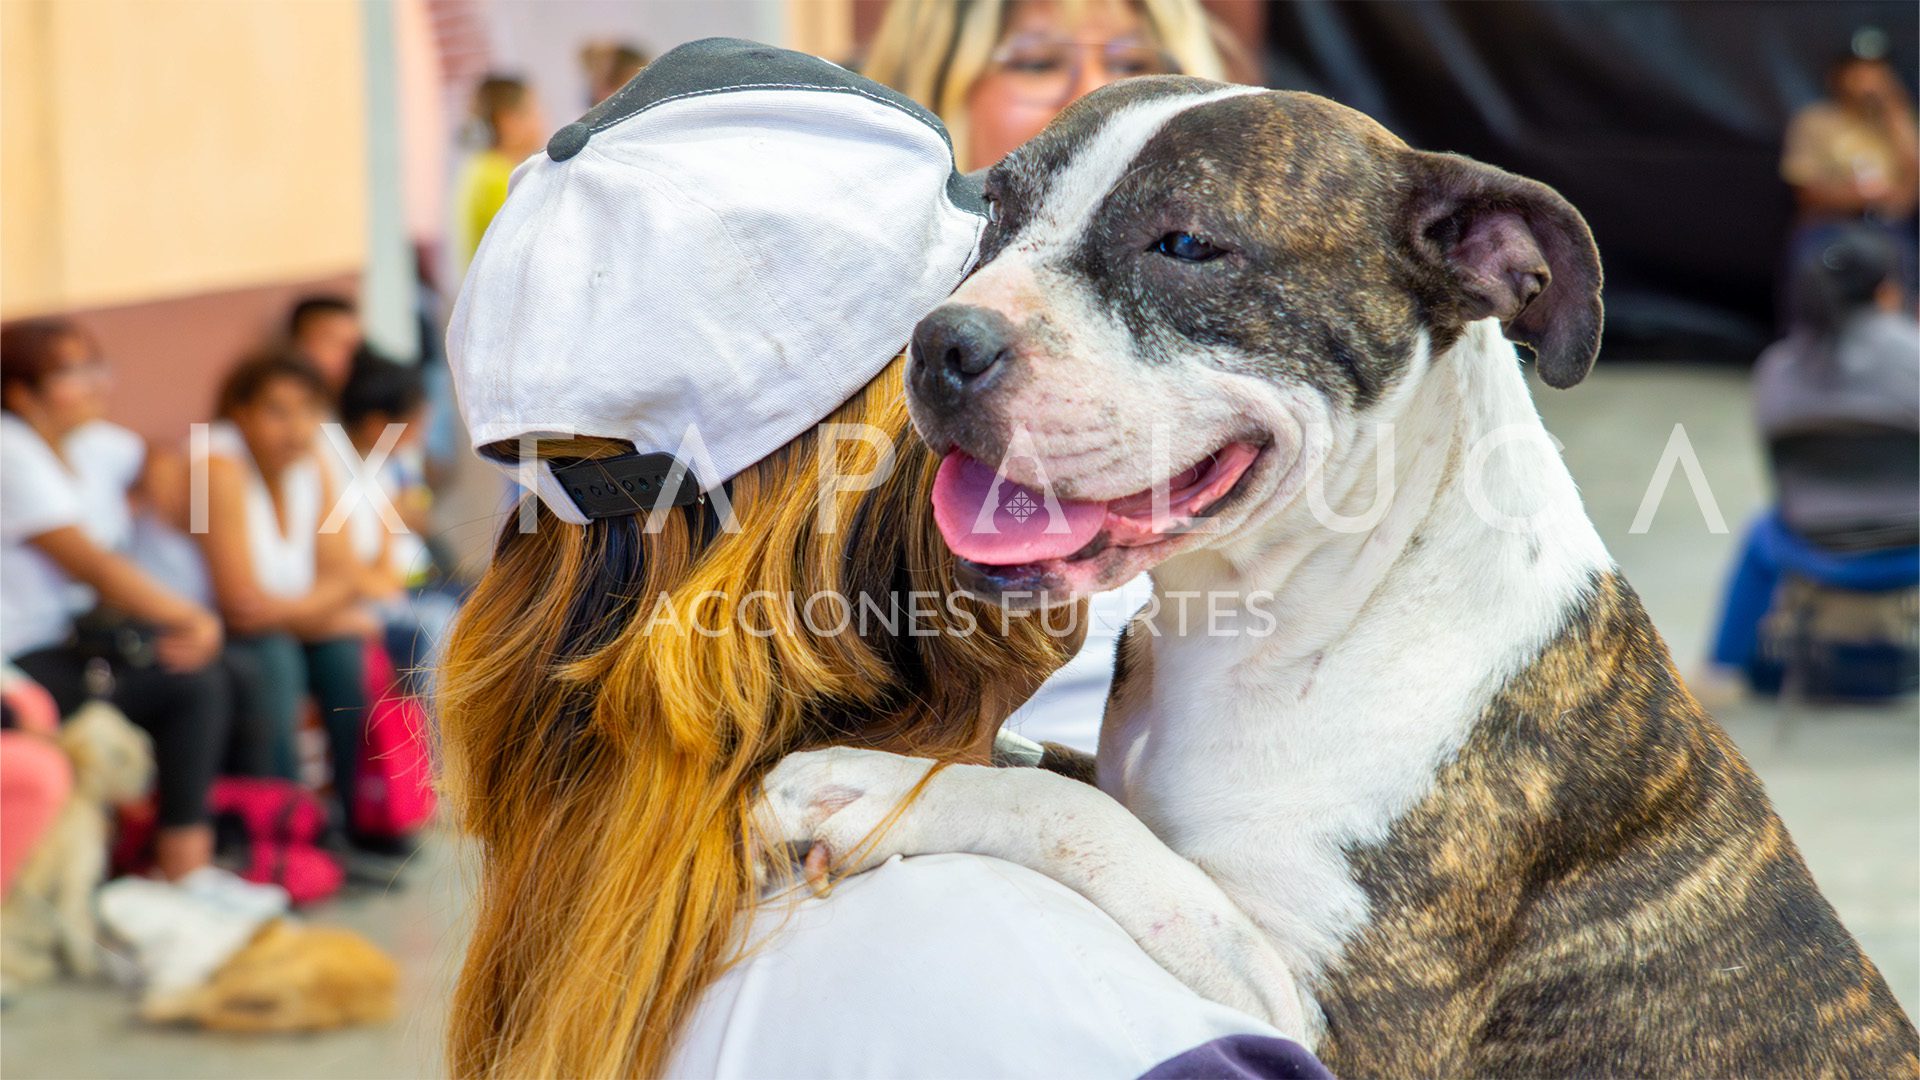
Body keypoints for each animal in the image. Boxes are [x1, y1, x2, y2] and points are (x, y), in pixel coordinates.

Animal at [2, 699, 153, 983]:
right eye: (120, 756)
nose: (151, 779)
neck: (82, 787)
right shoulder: (77, 875)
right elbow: (80, 927)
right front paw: (89, 966)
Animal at [756, 77, 1912, 1076]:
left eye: (1187, 245)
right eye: (994, 212)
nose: (942, 341)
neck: (1284, 618)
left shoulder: (1320, 1021)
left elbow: (1085, 826)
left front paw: (869, 787)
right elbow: (1063, 781)